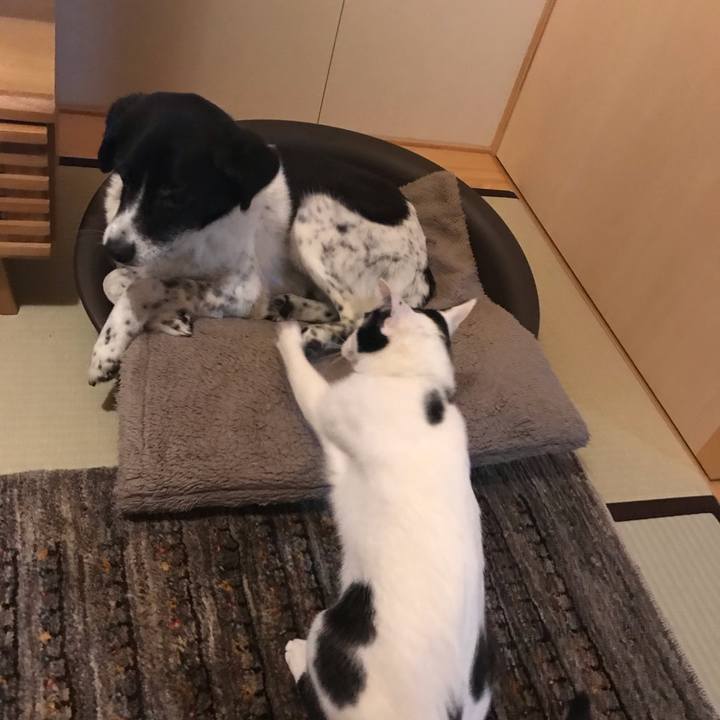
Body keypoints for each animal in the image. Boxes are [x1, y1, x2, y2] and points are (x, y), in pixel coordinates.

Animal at [88, 92, 433, 385]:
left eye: (175, 196)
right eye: (125, 176)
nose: (114, 249)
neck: (190, 234)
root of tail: (423, 271)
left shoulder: (242, 290)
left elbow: (143, 286)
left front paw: (109, 344)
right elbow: (113, 282)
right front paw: (169, 319)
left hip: (313, 213)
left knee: (355, 315)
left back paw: (315, 336)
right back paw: (287, 306)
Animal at [276, 282, 591, 720]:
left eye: (365, 324)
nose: (348, 340)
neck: (420, 383)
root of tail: (447, 709)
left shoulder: (327, 404)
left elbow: (301, 376)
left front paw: (288, 335)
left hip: (330, 630)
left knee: (314, 681)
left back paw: (296, 653)